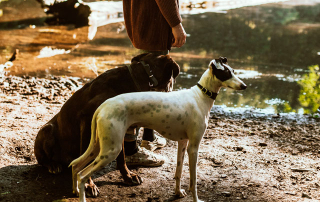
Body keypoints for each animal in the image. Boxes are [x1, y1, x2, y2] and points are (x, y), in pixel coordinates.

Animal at [35, 52, 180, 195]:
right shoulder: (88, 121)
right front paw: (89, 185)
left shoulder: (119, 126)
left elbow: (121, 157)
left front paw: (128, 176)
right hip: (47, 130)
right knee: (42, 160)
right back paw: (53, 165)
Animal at [70, 56, 246, 202]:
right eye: (226, 74)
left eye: (233, 71)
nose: (244, 86)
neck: (199, 96)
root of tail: (102, 106)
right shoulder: (194, 147)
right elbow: (193, 180)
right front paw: (196, 199)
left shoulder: (183, 143)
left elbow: (178, 172)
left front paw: (178, 193)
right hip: (111, 150)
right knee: (83, 175)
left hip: (99, 146)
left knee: (76, 167)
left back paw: (75, 191)